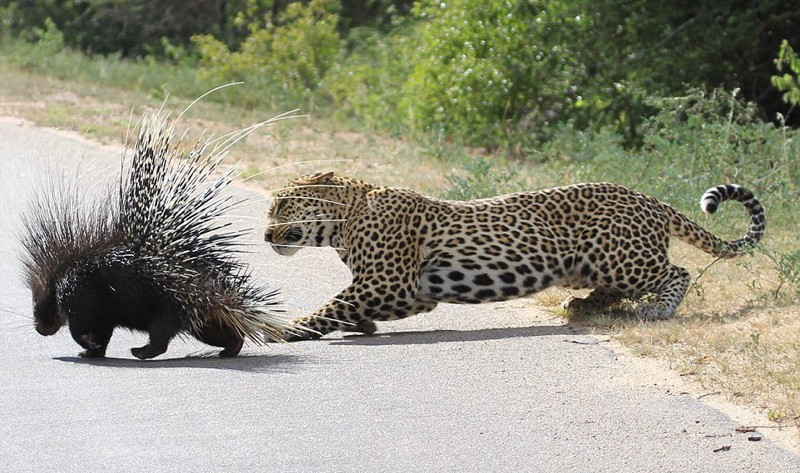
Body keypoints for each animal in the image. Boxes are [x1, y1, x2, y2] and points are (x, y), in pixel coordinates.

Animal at [264, 172, 764, 340]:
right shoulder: (409, 293)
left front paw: (286, 329)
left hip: (616, 255)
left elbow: (331, 304)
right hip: (589, 264)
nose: (266, 234)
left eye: (282, 205)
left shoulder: (390, 282)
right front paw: (361, 325)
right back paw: (584, 305)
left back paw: (658, 309)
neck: (344, 223)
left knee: (676, 271)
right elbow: (345, 306)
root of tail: (649, 198)